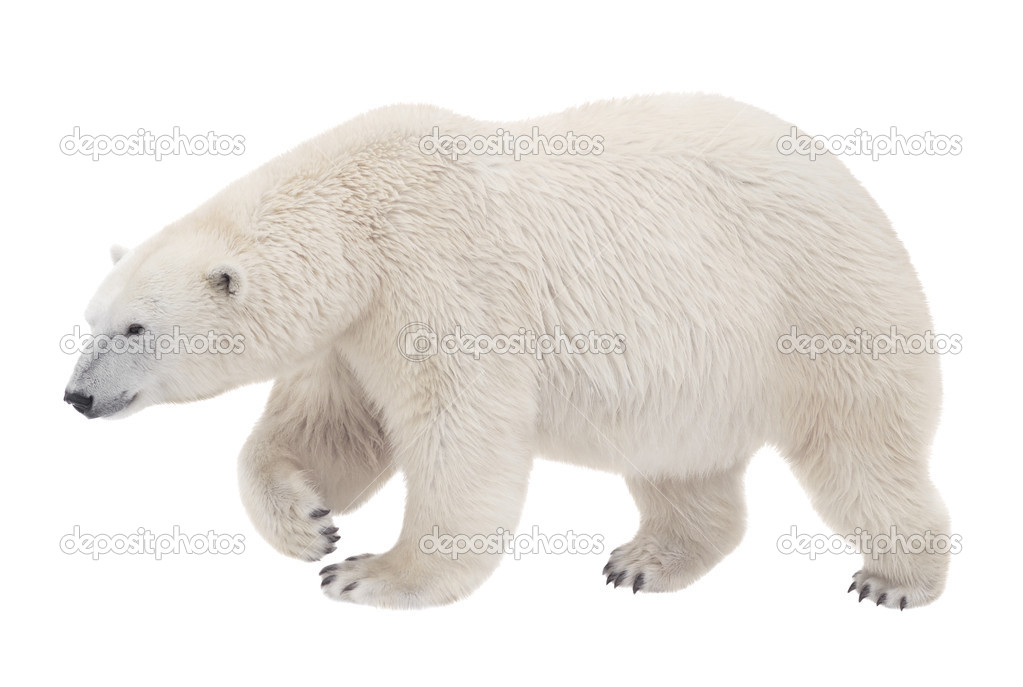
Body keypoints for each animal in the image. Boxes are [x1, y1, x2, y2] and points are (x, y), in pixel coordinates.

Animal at [63, 94, 949, 609]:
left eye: (134, 328)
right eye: (90, 320)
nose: (77, 396)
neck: (357, 213)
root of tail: (849, 179)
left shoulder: (436, 276)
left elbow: (461, 431)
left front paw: (371, 572)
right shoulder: (355, 328)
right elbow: (332, 427)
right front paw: (309, 523)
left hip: (813, 300)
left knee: (859, 446)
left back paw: (895, 578)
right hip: (700, 367)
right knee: (680, 462)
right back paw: (645, 560)